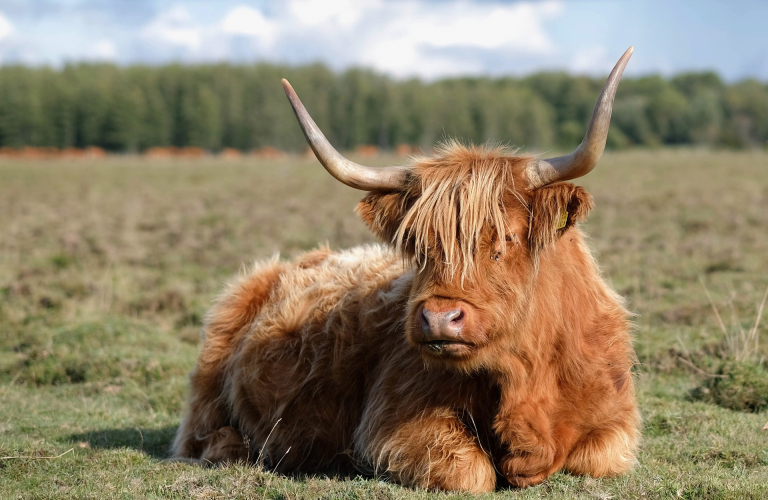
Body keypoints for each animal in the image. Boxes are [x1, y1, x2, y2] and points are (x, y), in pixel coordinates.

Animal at [174, 47, 640, 492]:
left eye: (506, 238)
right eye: (417, 244)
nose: (440, 318)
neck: (526, 376)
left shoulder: (616, 425)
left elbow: (594, 458)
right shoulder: (393, 422)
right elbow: (470, 473)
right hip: (213, 362)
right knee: (198, 433)